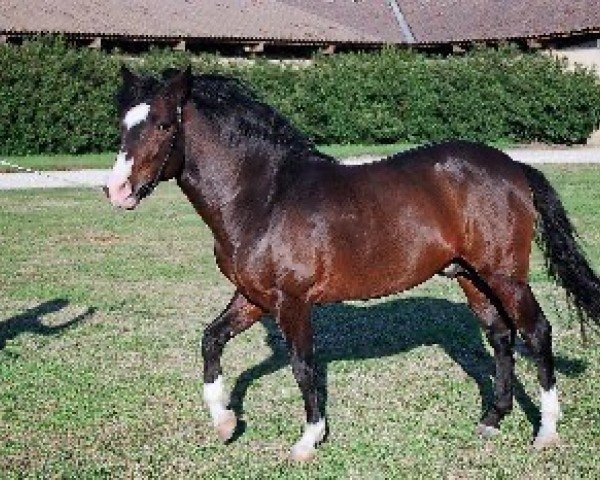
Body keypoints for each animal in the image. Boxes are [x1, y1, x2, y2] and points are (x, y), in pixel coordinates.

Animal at [106, 65, 600, 460]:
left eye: (163, 125)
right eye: (123, 125)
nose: (117, 191)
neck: (264, 196)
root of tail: (514, 168)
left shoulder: (292, 301)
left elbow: (303, 366)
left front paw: (308, 440)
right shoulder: (253, 296)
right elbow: (211, 340)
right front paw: (225, 422)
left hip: (505, 275)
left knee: (536, 333)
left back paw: (546, 432)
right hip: (471, 276)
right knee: (500, 336)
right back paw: (492, 420)